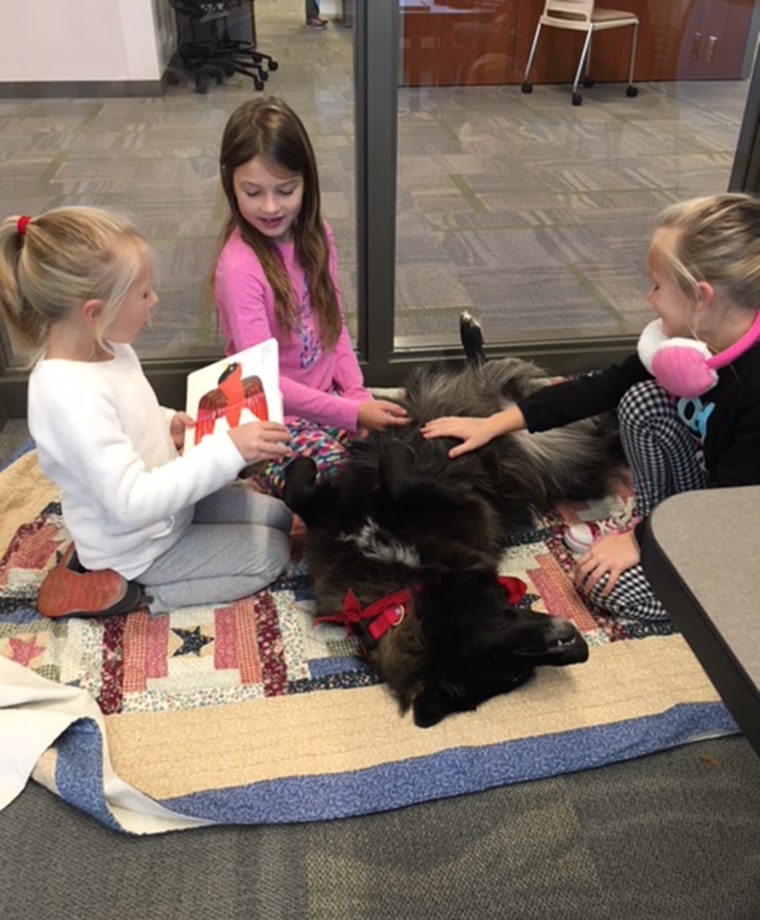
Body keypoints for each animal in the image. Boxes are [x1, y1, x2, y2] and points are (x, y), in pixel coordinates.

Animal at [282, 314, 620, 724]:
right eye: (512, 672)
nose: (579, 649)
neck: (403, 576)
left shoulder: (436, 504)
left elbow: (364, 482)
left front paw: (316, 458)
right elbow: (318, 488)